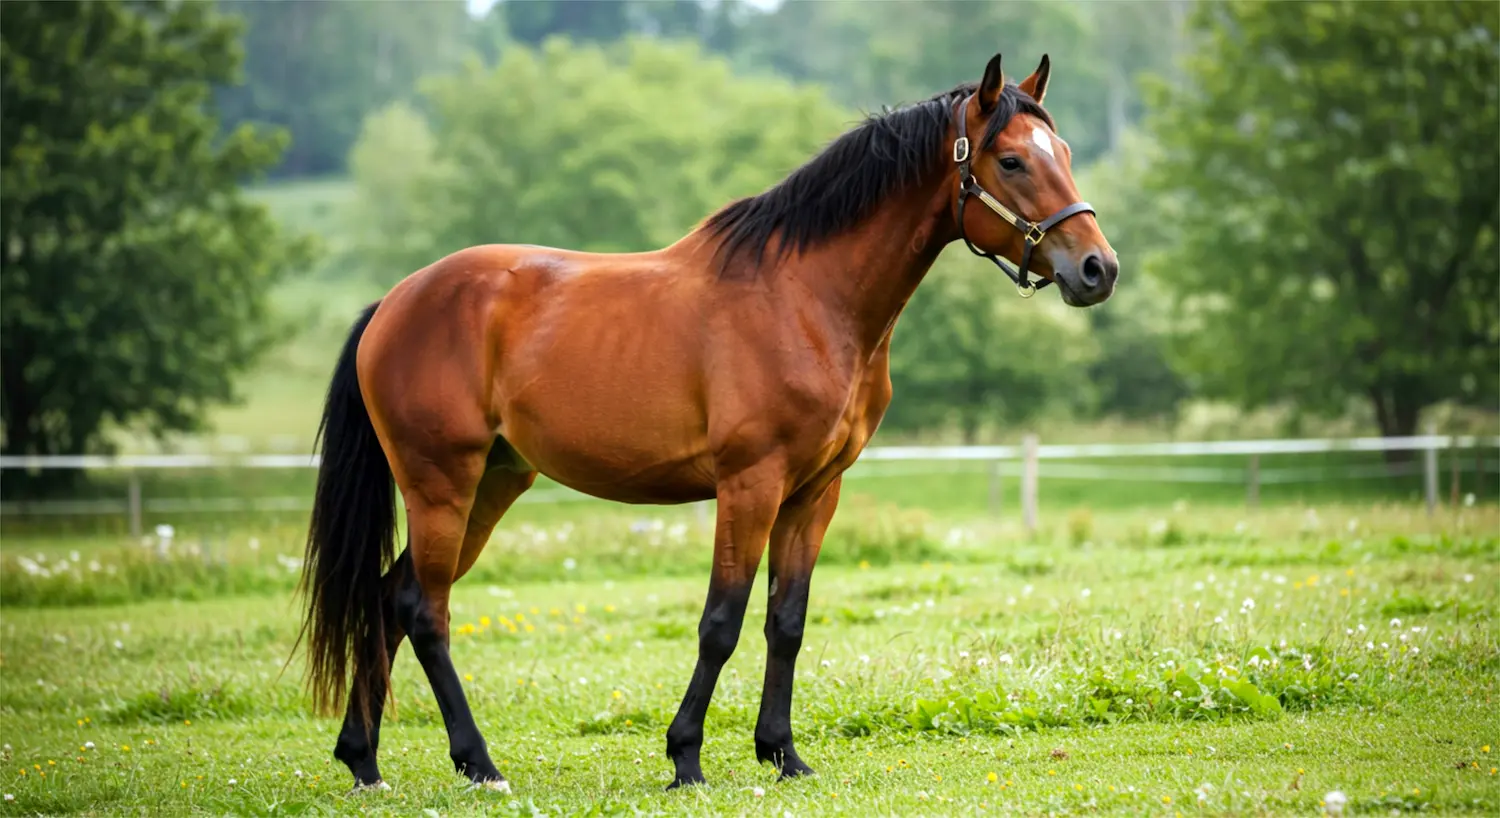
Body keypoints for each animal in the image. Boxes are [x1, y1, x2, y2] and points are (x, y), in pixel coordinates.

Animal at [296, 52, 1118, 793]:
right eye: (1011, 160)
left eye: (1067, 155)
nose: (1097, 269)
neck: (805, 296)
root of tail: (394, 303)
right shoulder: (750, 485)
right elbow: (721, 621)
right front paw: (685, 758)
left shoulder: (814, 492)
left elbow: (787, 621)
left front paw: (783, 755)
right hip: (443, 484)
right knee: (423, 610)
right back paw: (478, 764)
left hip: (494, 483)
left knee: (387, 600)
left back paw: (364, 762)